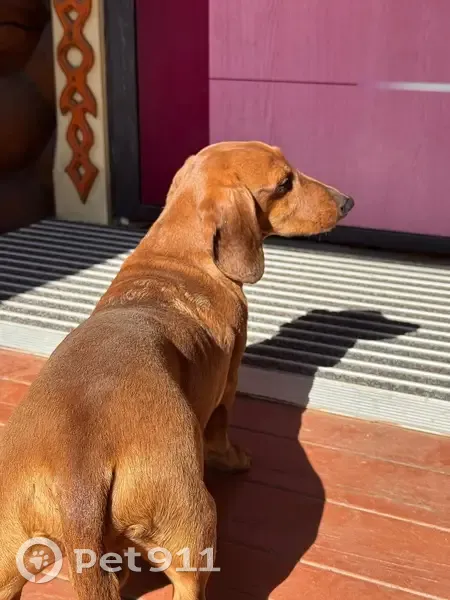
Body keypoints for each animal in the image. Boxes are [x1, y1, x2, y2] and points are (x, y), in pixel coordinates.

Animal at [0, 141, 353, 600]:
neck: (174, 255)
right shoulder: (228, 383)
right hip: (193, 525)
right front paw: (234, 459)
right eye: (284, 183)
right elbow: (222, 429)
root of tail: (80, 478)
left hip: (9, 556)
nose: (347, 202)